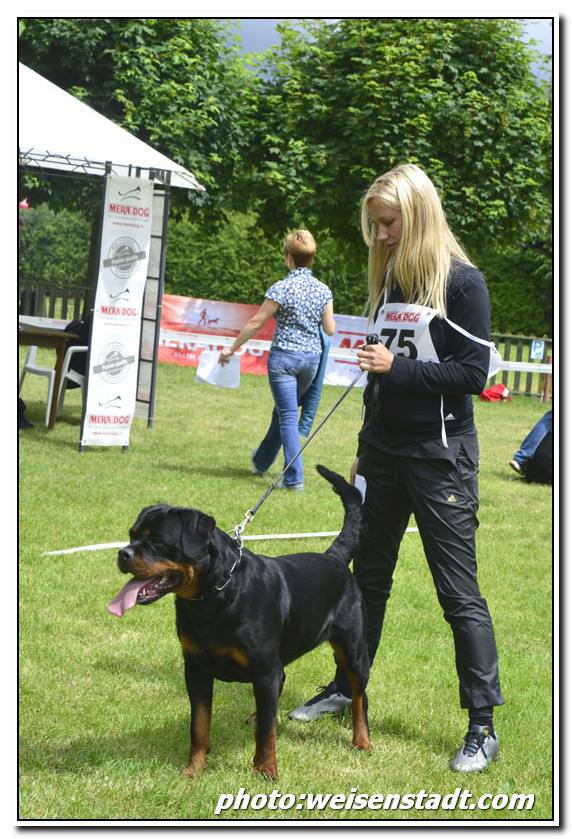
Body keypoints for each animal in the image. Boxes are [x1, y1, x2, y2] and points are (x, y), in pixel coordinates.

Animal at [109, 462, 368, 776]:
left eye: (157, 541)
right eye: (132, 535)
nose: (123, 553)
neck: (214, 598)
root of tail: (334, 558)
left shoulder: (264, 669)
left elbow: (266, 733)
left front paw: (266, 770)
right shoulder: (196, 668)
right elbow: (199, 725)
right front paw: (193, 770)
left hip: (353, 648)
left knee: (359, 697)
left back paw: (362, 741)